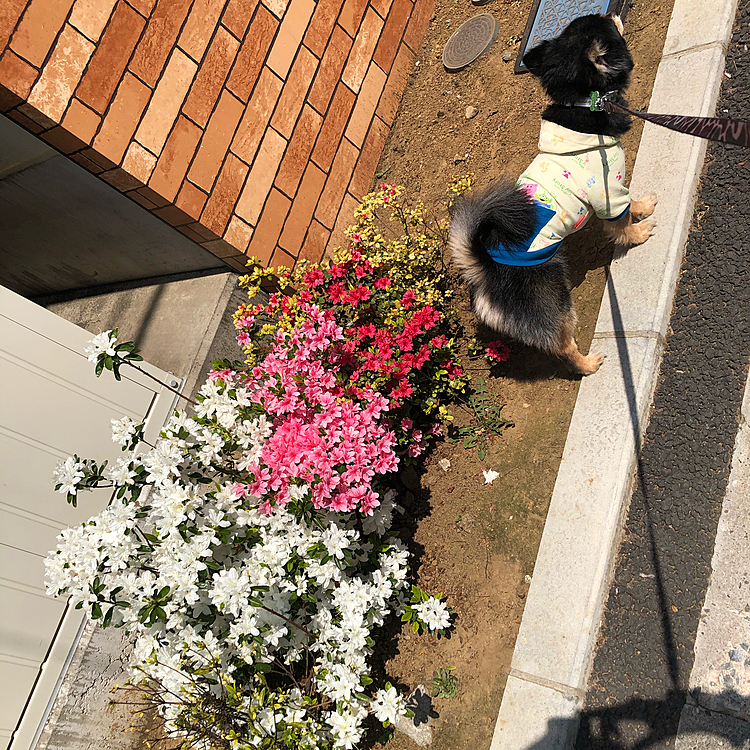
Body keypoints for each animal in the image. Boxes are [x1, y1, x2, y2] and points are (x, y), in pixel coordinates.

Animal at [452, 11, 656, 376]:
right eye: (607, 26)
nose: (613, 12)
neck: (584, 104)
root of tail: (484, 269)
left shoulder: (615, 190)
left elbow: (632, 202)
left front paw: (644, 205)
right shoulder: (609, 193)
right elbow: (622, 223)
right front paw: (638, 231)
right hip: (554, 301)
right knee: (563, 346)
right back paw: (588, 363)